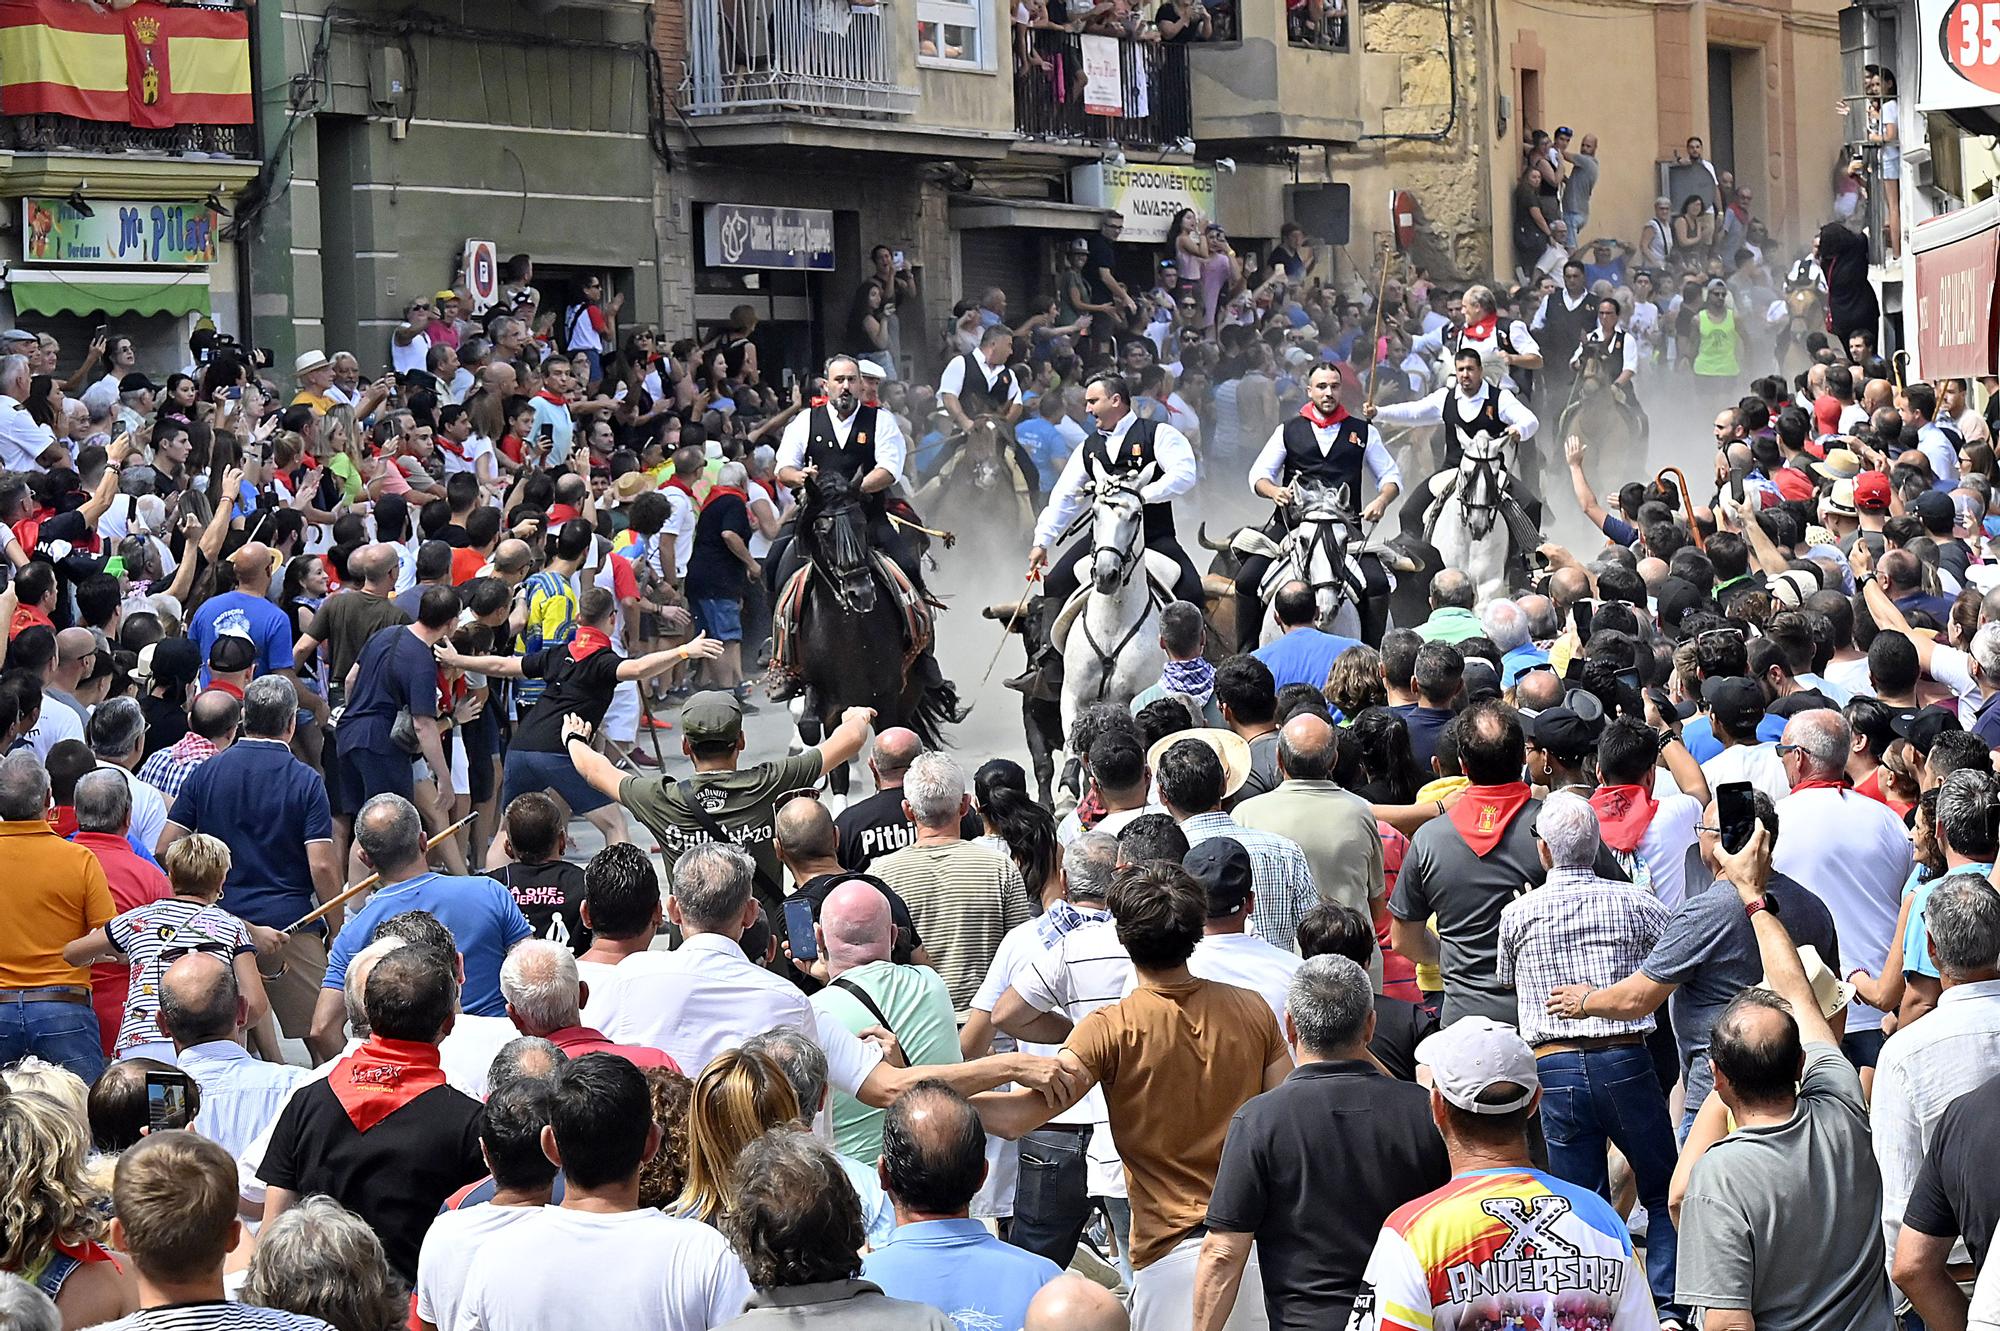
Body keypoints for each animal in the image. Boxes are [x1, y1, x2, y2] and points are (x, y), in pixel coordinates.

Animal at [788, 465, 960, 787]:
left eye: (860, 523)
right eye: (822, 530)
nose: (861, 592)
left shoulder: (886, 696)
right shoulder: (826, 700)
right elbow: (821, 742)